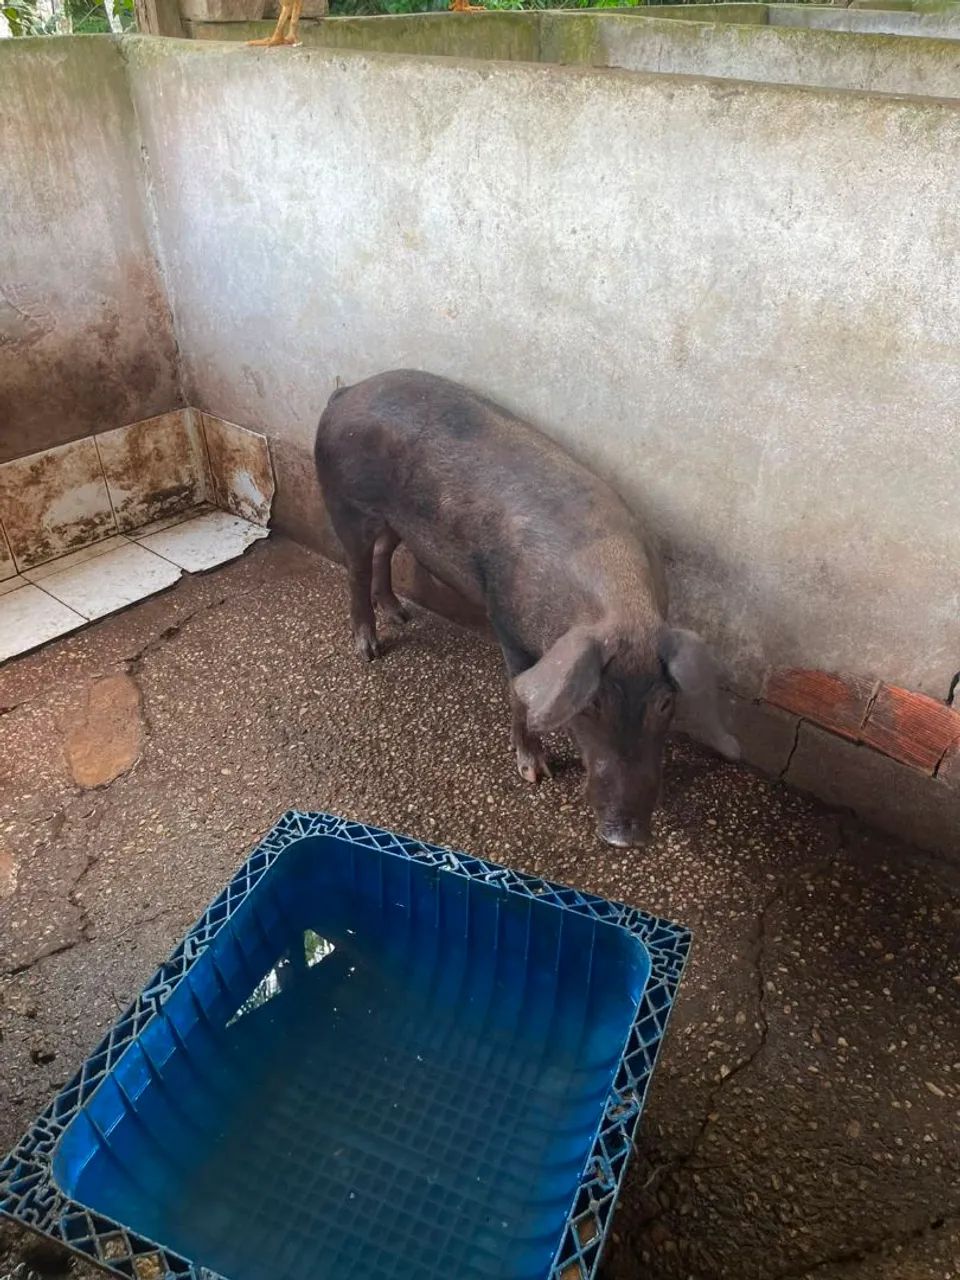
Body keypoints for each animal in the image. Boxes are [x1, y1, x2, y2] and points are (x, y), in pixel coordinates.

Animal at [315, 370, 739, 848]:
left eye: (666, 703)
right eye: (592, 703)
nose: (624, 837)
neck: (620, 606)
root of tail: (347, 392)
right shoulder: (507, 624)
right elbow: (520, 691)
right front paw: (536, 774)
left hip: (394, 520)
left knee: (383, 552)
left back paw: (402, 614)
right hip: (344, 503)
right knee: (356, 568)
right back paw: (369, 650)